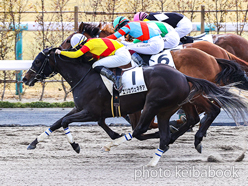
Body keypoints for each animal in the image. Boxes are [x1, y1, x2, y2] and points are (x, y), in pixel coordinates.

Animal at [22, 47, 248, 166]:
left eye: (38, 60)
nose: (25, 78)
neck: (85, 76)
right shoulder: (81, 108)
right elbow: (57, 122)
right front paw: (33, 142)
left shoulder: (90, 111)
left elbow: (66, 122)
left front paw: (76, 145)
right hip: (170, 106)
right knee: (177, 126)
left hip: (156, 103)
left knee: (143, 129)